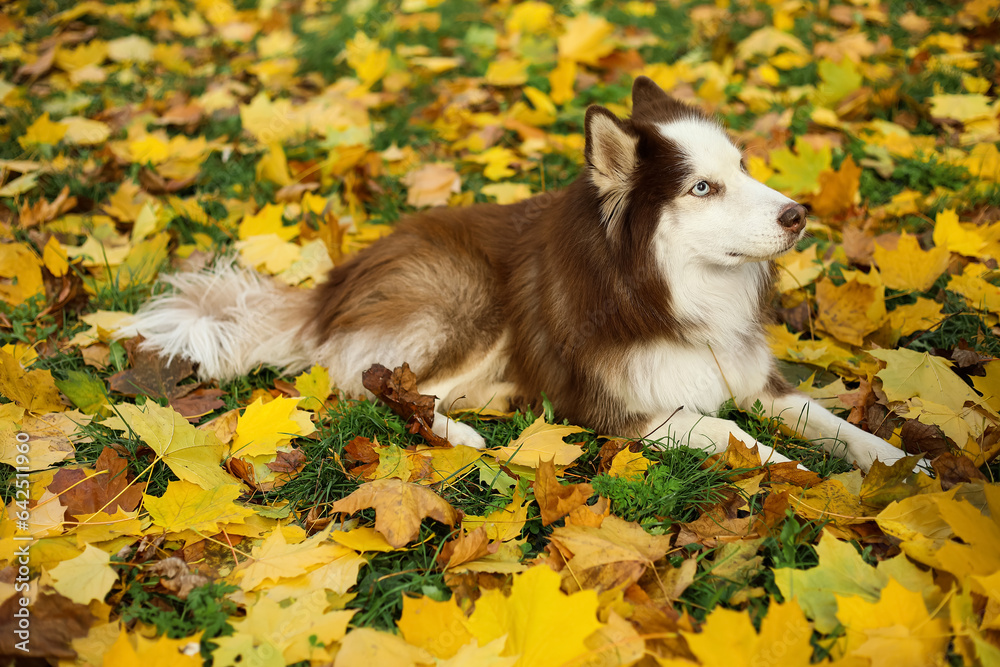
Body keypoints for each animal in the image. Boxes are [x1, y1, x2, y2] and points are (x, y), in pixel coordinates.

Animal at [119, 78, 916, 472]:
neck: (669, 293)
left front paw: (900, 466)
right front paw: (794, 472)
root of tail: (336, 282)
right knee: (377, 386)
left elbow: (834, 421)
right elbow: (730, 431)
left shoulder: (758, 383)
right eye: (702, 188)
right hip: (468, 301)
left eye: (744, 167)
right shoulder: (624, 411)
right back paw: (463, 437)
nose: (798, 214)